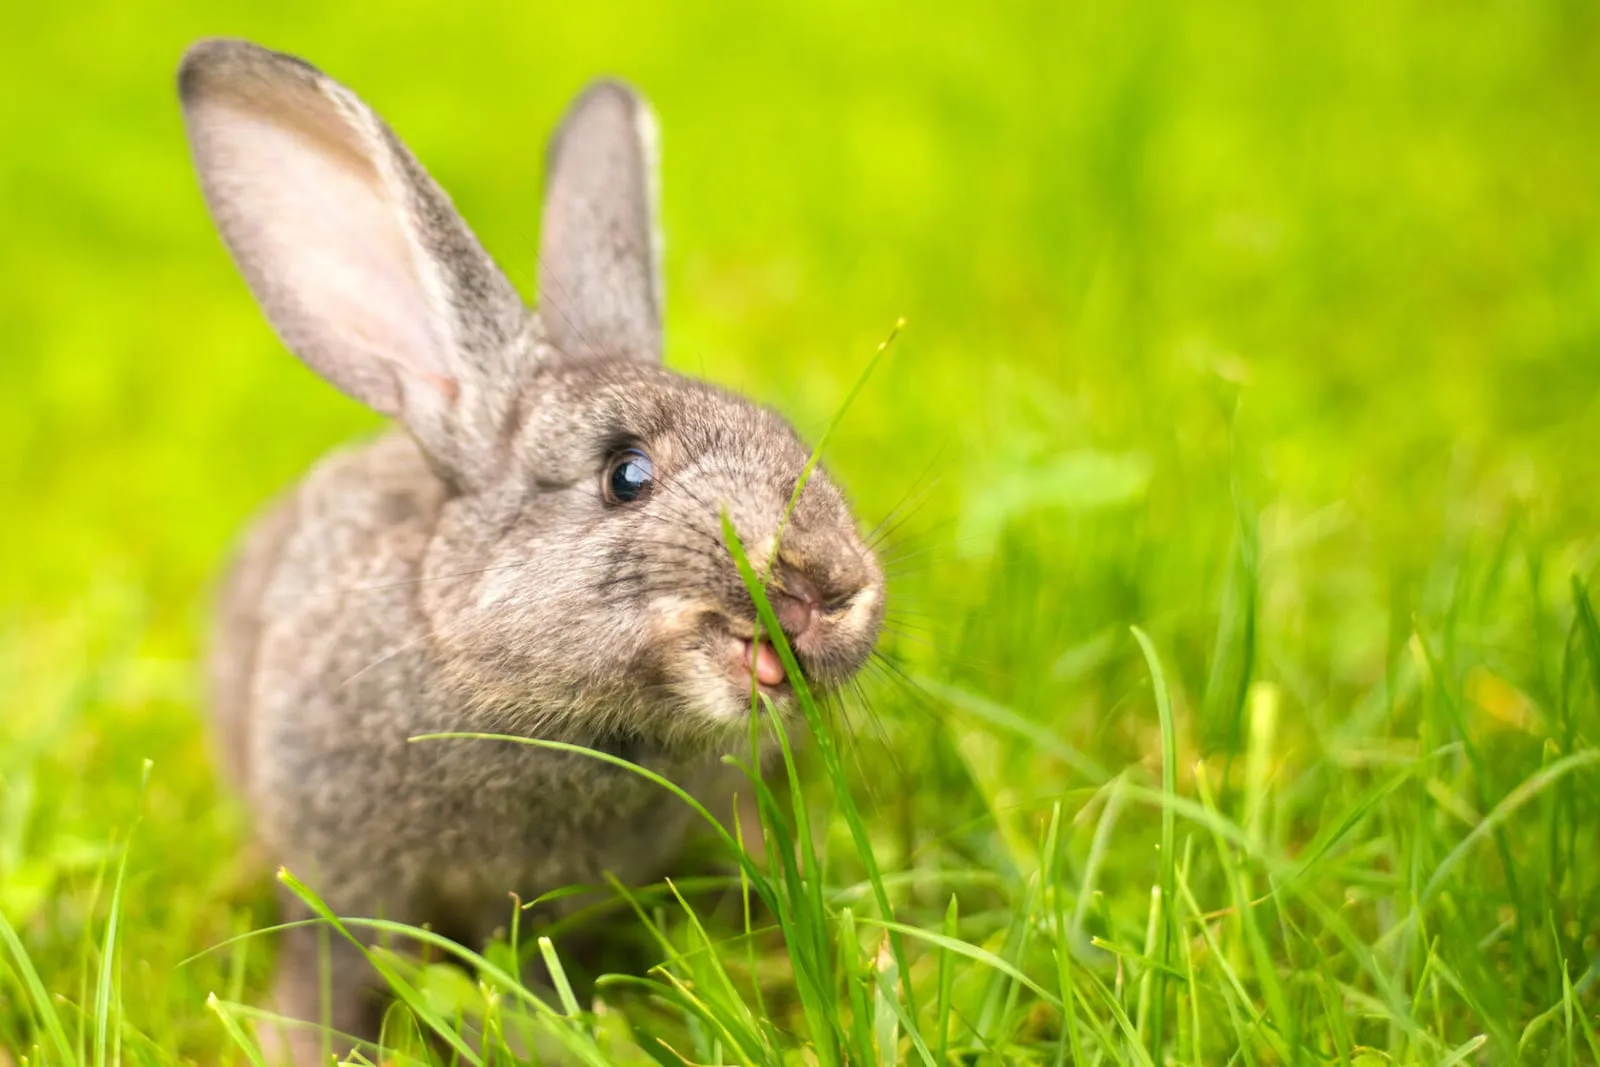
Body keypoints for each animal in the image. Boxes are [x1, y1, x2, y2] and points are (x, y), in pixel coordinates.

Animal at [179, 37, 885, 1062]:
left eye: (787, 433)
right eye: (626, 474)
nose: (832, 586)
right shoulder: (343, 877)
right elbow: (334, 966)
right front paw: (304, 1044)